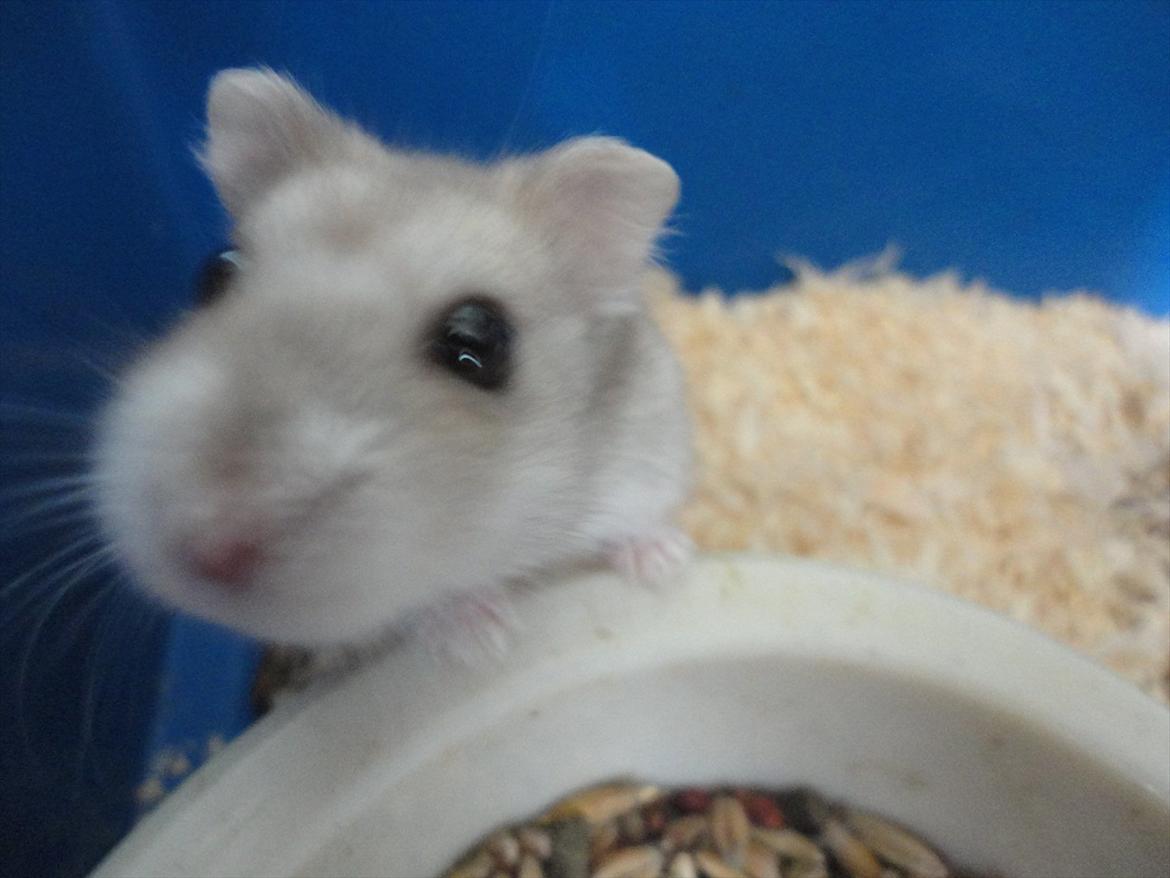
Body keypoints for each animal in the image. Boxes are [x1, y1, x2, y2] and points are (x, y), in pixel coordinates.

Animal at [92, 68, 692, 650]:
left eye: (477, 341)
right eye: (215, 272)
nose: (209, 550)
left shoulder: (649, 453)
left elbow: (637, 519)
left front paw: (665, 566)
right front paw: (483, 638)